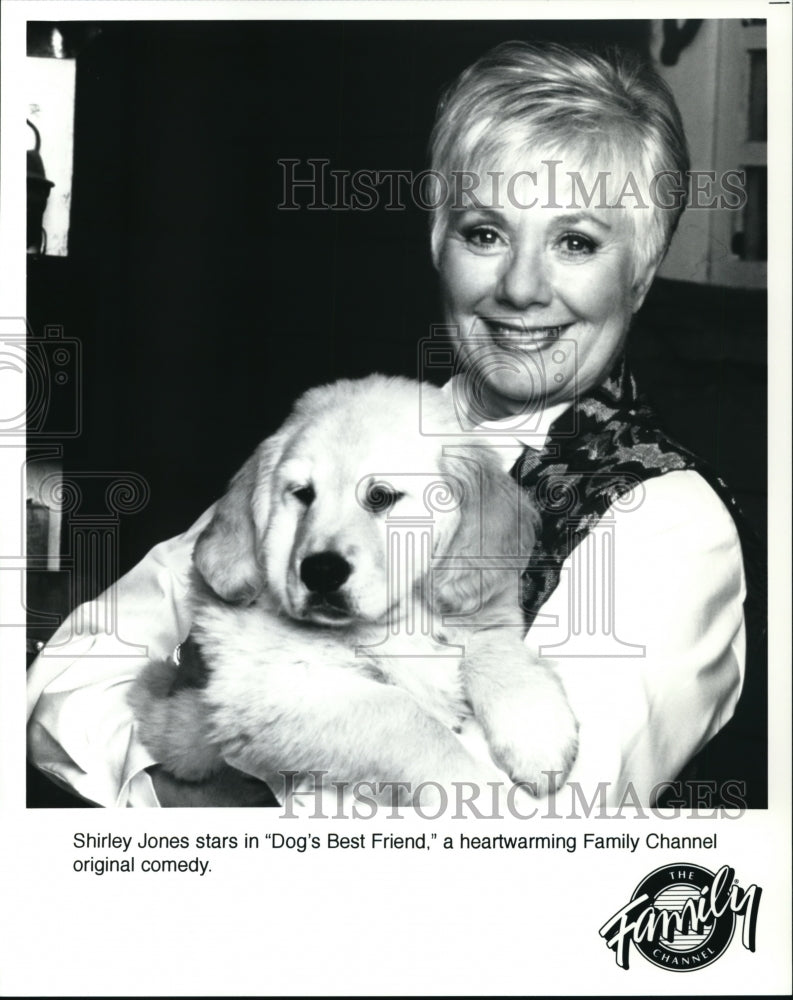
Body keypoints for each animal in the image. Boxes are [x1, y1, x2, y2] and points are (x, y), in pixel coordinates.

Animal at [130, 376, 576, 804]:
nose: (320, 572)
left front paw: (537, 730)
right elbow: (404, 715)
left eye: (380, 496)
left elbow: (495, 649)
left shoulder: (479, 611)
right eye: (303, 494)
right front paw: (478, 793)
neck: (397, 621)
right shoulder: (276, 686)